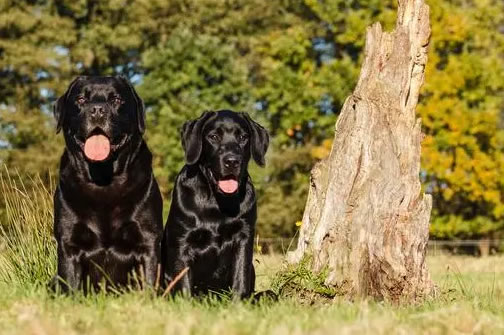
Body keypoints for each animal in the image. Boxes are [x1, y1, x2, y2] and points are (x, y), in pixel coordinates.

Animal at [51, 76, 161, 294]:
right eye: (81, 100)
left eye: (116, 100)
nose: (97, 110)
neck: (103, 179)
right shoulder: (68, 244)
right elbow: (70, 285)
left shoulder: (148, 241)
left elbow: (150, 283)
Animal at [163, 109, 270, 300]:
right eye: (213, 137)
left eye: (243, 137)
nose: (232, 161)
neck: (217, 201)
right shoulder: (182, 241)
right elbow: (183, 283)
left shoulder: (243, 237)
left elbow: (240, 278)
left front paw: (238, 303)